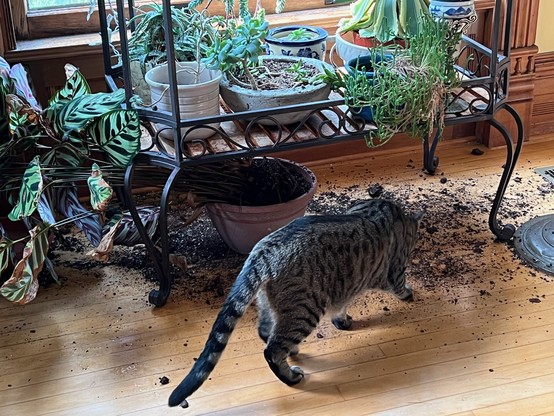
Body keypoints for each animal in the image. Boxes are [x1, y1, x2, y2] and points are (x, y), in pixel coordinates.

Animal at [166, 200, 420, 408]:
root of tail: (262, 253)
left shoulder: (346, 286)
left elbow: (341, 307)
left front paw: (342, 320)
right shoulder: (392, 271)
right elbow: (398, 284)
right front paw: (407, 293)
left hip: (270, 302)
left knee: (266, 332)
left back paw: (292, 351)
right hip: (305, 310)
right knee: (272, 349)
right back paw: (290, 376)